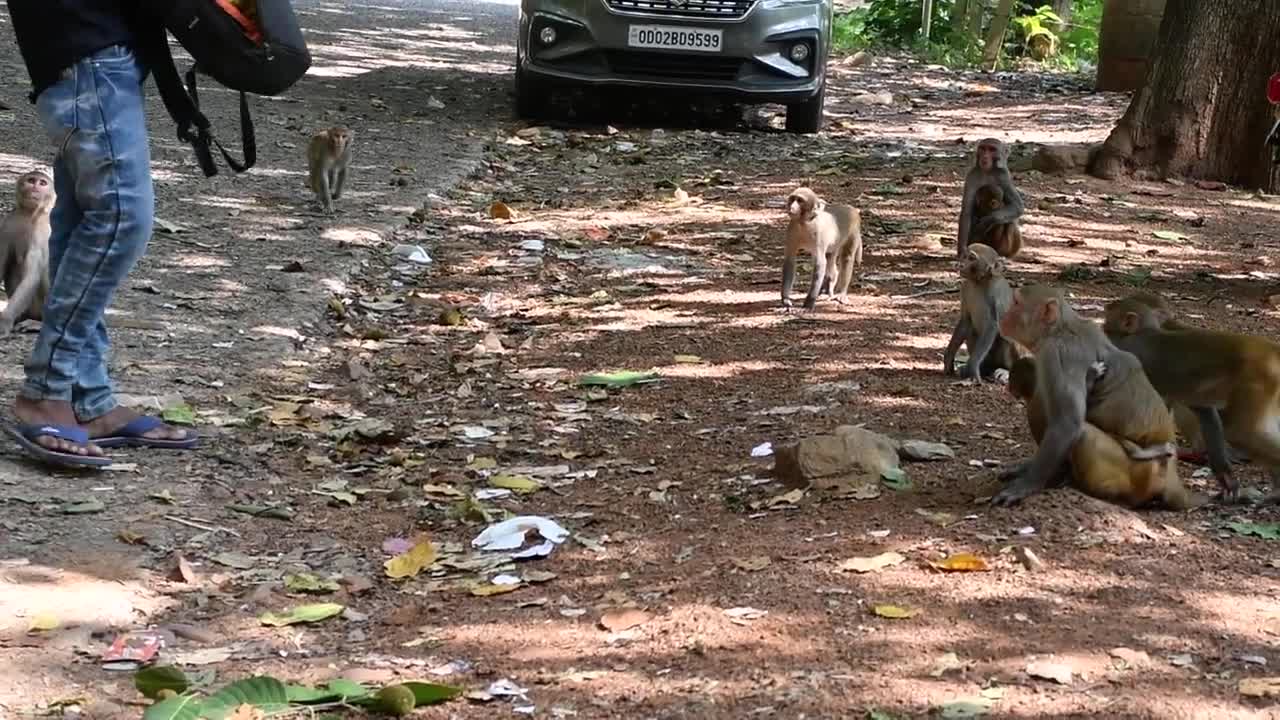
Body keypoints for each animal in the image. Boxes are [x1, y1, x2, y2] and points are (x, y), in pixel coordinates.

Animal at [0, 169, 54, 335]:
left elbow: (33, 276)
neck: (30, 215)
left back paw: (39, 323)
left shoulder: (42, 233)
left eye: (42, 183)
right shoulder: (8, 224)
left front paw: (4, 320)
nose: (35, 187)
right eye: (31, 180)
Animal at [947, 243, 1024, 381]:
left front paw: (972, 367)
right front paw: (948, 359)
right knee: (971, 329)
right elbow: (965, 320)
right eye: (965, 256)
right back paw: (985, 368)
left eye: (971, 258)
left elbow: (992, 326)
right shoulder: (965, 287)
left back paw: (1006, 371)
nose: (961, 264)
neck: (980, 281)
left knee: (1008, 334)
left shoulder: (996, 294)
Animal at [1095, 294, 1280, 502]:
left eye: (1109, 319)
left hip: (1256, 379)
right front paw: (1225, 476)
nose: (1103, 327)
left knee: (1241, 432)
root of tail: (1270, 351)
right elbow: (1203, 409)